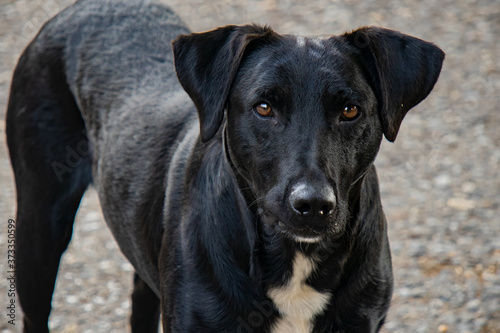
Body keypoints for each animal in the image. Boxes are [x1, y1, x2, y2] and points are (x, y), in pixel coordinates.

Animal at [5, 0, 444, 330]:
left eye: (350, 111)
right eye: (264, 107)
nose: (313, 205)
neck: (294, 260)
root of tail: (88, 5)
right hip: (39, 225)